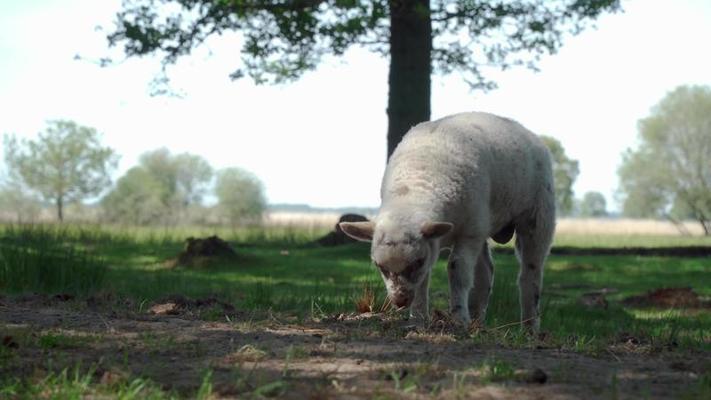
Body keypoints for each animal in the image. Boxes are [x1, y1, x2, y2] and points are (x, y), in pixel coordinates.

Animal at [340, 111, 556, 330]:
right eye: (380, 266)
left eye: (417, 262)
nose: (400, 302)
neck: (417, 185)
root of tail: (525, 130)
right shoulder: (455, 235)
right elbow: (425, 280)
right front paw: (418, 319)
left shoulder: (469, 232)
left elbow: (457, 270)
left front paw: (459, 318)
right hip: (484, 225)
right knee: (485, 272)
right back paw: (477, 321)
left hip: (537, 215)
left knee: (530, 274)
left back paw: (529, 327)